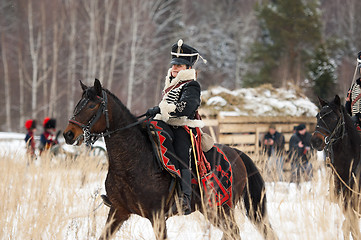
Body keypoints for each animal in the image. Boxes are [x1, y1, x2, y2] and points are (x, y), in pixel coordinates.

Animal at [63, 79, 276, 239]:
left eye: (92, 105)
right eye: (78, 104)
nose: (68, 134)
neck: (131, 163)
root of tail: (236, 154)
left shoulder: (157, 217)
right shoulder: (118, 211)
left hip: (219, 210)